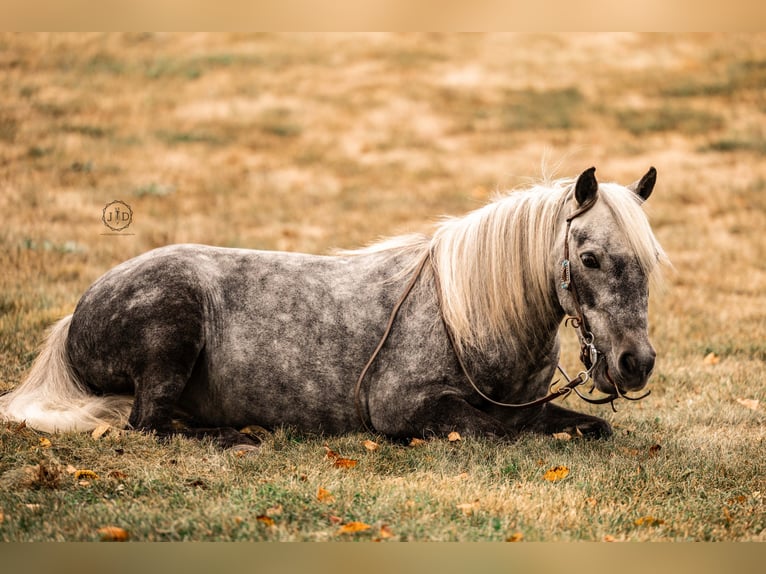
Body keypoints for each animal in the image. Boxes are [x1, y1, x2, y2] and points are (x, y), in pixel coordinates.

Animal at [0, 167, 668, 449]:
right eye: (589, 258)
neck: (467, 319)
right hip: (171, 326)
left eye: (650, 260)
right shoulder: (407, 411)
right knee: (149, 423)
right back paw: (233, 437)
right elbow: (498, 430)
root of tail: (77, 313)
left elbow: (588, 427)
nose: (635, 363)